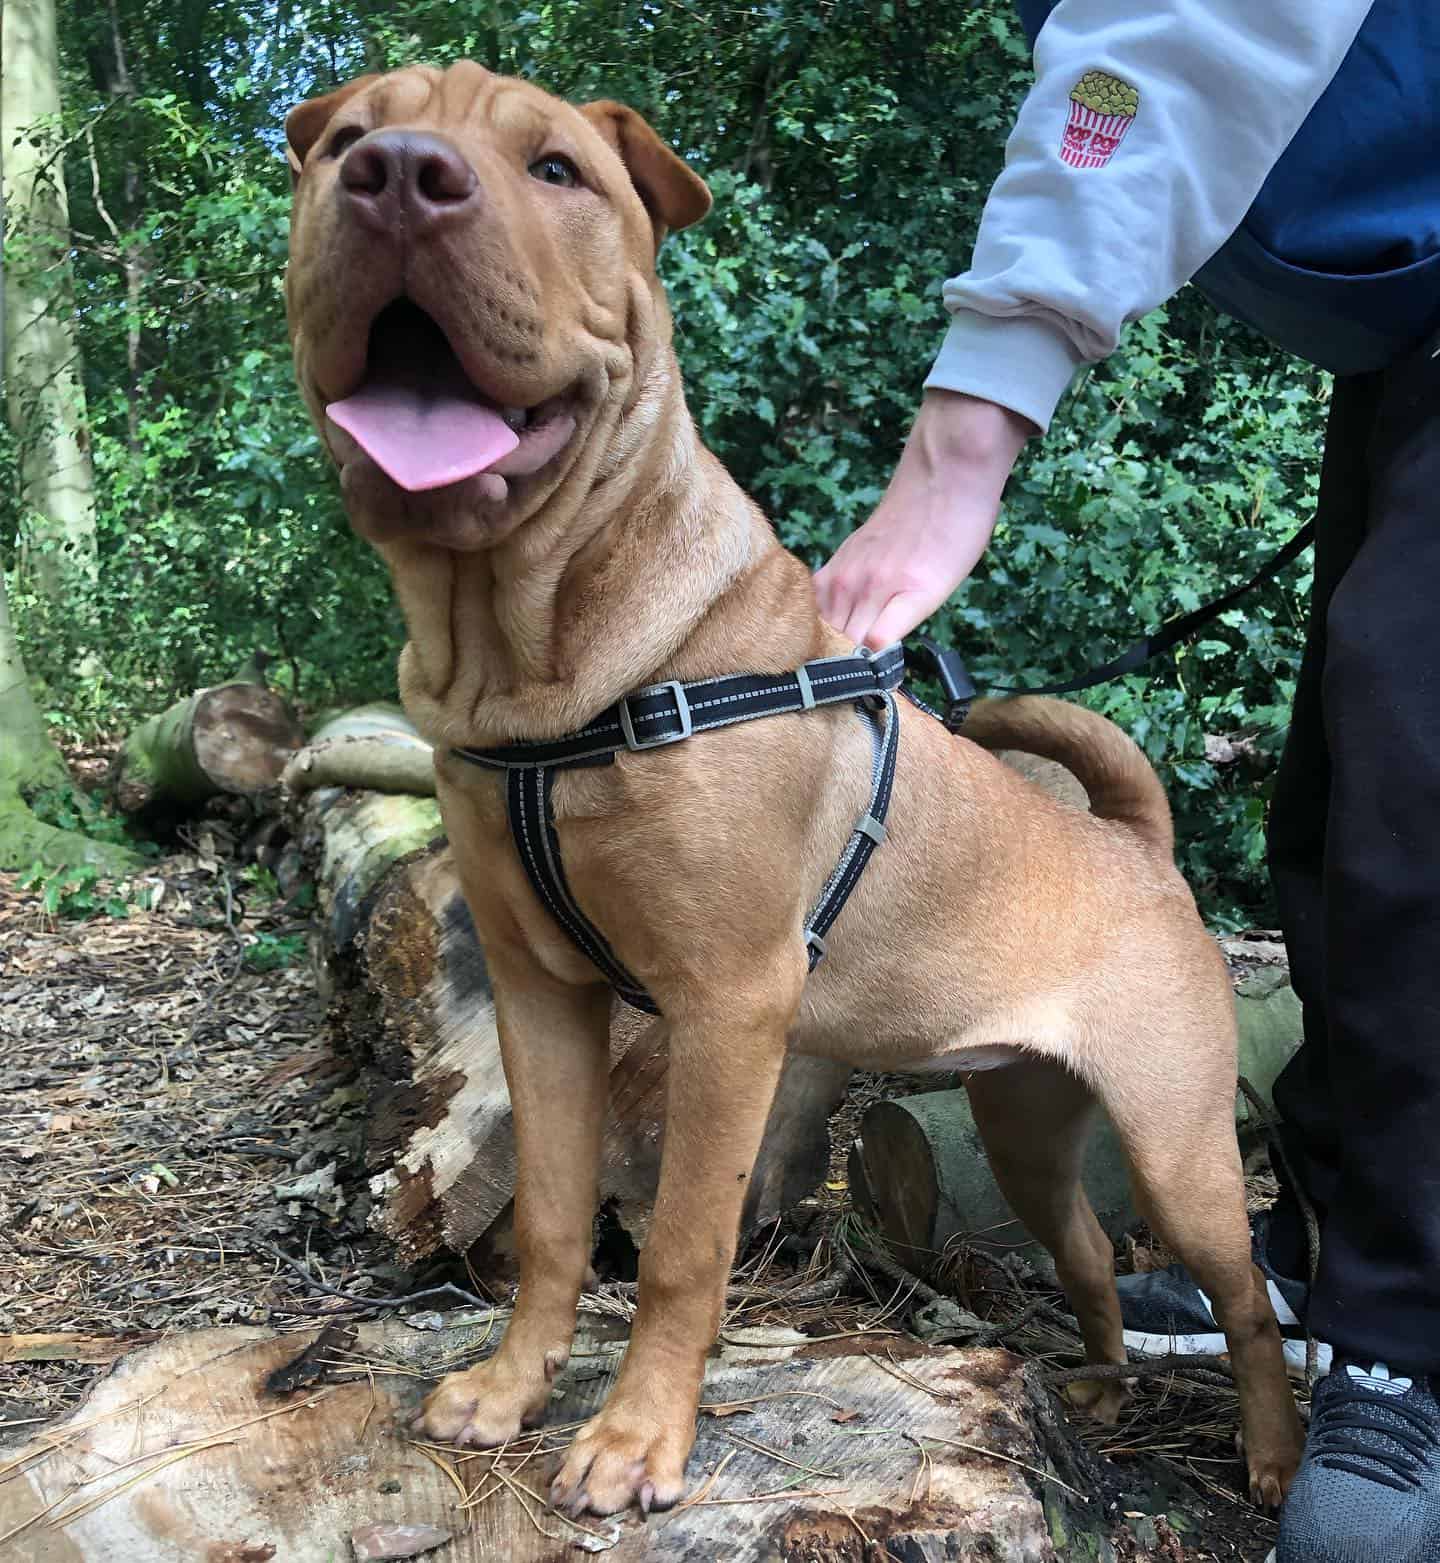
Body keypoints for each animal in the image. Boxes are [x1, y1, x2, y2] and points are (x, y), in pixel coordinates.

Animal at [282, 67, 1300, 1519]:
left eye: (555, 169)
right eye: (351, 143)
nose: (401, 177)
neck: (554, 659)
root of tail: (1142, 850)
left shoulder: (728, 1008)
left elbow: (680, 1248)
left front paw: (636, 1438)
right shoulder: (542, 996)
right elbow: (550, 1216)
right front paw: (511, 1386)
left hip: (1179, 1141)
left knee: (1246, 1296)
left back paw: (1272, 1454)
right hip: (1027, 1121)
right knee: (1092, 1249)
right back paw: (1101, 1390)